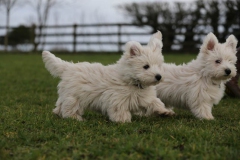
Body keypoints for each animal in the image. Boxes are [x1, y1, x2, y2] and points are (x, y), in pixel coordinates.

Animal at [42, 30, 174, 122]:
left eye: (159, 65)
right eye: (146, 66)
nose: (158, 76)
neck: (132, 81)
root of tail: (68, 67)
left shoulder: (144, 98)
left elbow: (155, 102)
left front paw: (164, 112)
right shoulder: (117, 99)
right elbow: (119, 110)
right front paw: (123, 121)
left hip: (66, 94)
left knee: (60, 105)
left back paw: (57, 113)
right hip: (74, 96)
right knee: (69, 108)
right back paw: (75, 118)